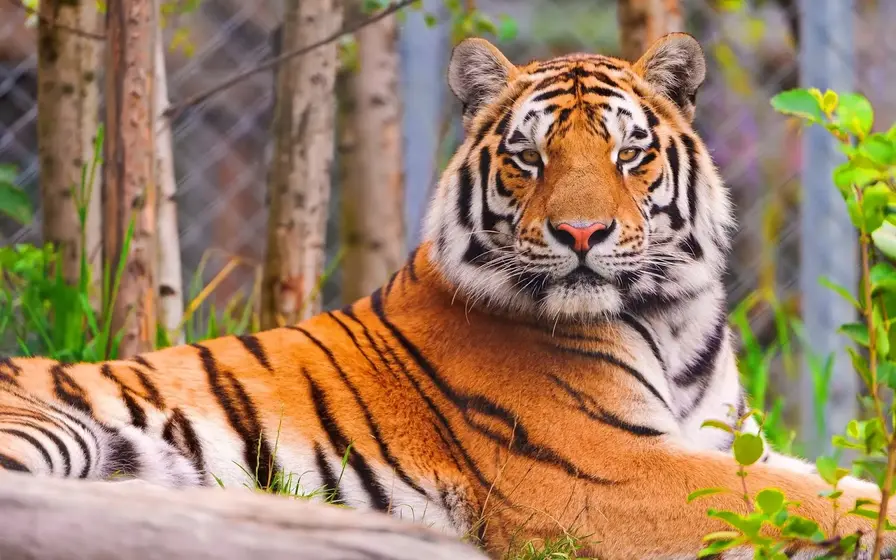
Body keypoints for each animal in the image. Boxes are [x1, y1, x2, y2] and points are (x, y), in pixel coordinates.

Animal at [0, 33, 893, 559]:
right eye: (530, 157)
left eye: (628, 154)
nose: (581, 234)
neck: (670, 317)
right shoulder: (604, 474)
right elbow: (805, 501)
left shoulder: (726, 443)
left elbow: (828, 482)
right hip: (52, 428)